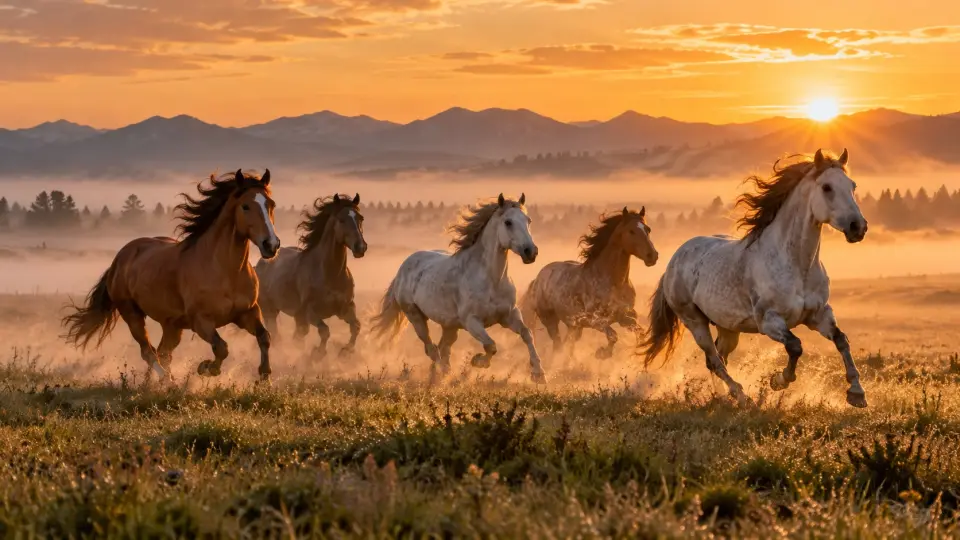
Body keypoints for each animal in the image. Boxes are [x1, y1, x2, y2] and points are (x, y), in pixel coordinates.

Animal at [61, 170, 281, 382]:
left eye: (271, 204)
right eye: (245, 206)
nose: (271, 245)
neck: (224, 271)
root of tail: (119, 259)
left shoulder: (248, 312)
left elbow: (265, 337)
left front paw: (264, 378)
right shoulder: (201, 321)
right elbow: (221, 348)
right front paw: (205, 368)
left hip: (172, 326)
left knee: (162, 353)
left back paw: (152, 385)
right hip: (132, 315)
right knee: (149, 352)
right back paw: (168, 382)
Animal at [256, 193, 367, 359]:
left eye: (360, 218)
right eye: (341, 219)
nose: (360, 247)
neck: (330, 274)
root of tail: (259, 265)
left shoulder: (346, 308)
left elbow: (356, 327)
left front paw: (345, 351)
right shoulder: (310, 312)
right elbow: (324, 331)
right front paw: (318, 354)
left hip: (297, 317)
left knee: (297, 337)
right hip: (270, 311)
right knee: (276, 336)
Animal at [371, 194, 545, 382]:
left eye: (528, 220)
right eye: (508, 222)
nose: (531, 252)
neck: (492, 280)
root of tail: (403, 268)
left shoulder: (509, 315)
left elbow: (527, 334)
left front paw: (539, 374)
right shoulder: (472, 321)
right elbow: (490, 345)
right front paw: (478, 361)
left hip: (450, 326)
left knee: (442, 348)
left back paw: (439, 376)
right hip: (415, 316)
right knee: (432, 349)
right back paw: (442, 376)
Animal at [521, 206, 658, 360]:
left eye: (648, 229)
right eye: (631, 231)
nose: (652, 256)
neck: (614, 283)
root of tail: (538, 279)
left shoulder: (624, 317)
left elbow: (640, 331)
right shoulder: (596, 321)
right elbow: (613, 336)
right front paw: (602, 353)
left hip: (574, 326)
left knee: (568, 345)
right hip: (550, 320)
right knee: (558, 345)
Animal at [639, 149, 869, 407]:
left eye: (852, 185)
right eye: (827, 187)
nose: (858, 227)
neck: (797, 265)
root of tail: (674, 261)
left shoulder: (819, 314)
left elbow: (841, 340)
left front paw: (857, 393)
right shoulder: (769, 321)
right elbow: (795, 346)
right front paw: (778, 381)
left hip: (728, 327)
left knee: (718, 358)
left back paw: (723, 397)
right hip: (694, 321)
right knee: (714, 359)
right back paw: (742, 396)